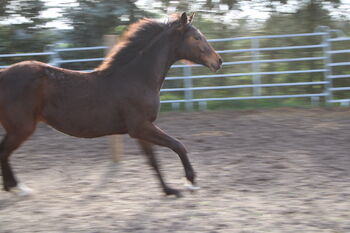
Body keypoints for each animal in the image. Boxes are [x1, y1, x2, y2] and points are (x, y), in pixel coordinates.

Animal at [0, 12, 221, 198]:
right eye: (197, 37)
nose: (218, 61)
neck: (137, 78)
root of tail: (3, 74)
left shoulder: (141, 131)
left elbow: (153, 161)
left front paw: (169, 190)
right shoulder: (141, 127)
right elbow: (178, 146)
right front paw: (191, 182)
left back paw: (13, 187)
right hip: (22, 128)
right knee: (4, 151)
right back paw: (19, 188)